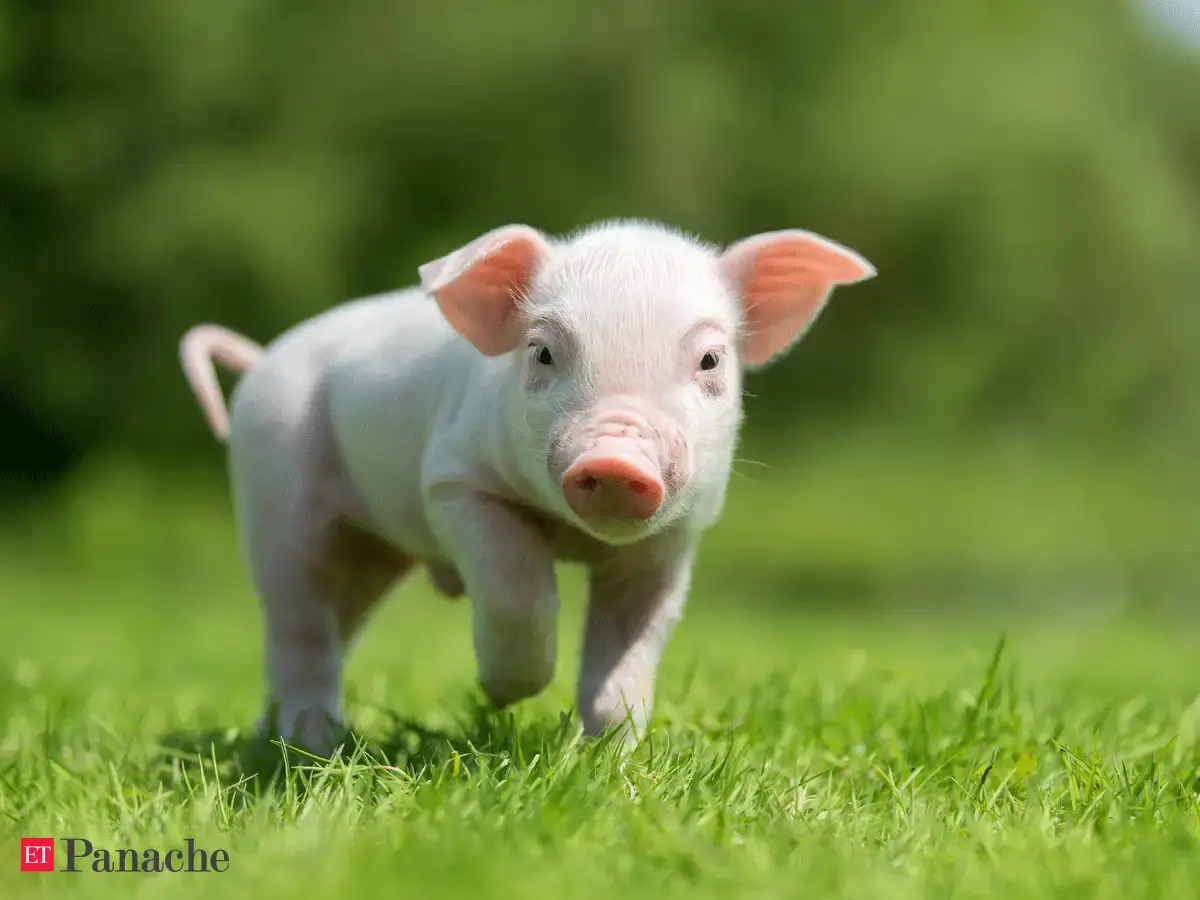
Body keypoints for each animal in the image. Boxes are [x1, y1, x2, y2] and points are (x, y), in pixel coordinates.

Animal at [178, 219, 875, 756]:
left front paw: (613, 758)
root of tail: (262, 358)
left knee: (332, 625)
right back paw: (309, 746)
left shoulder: (672, 540)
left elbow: (629, 651)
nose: (617, 458)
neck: (571, 536)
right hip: (275, 494)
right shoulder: (455, 483)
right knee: (295, 622)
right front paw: (503, 695)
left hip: (370, 555)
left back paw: (273, 737)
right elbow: (521, 590)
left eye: (710, 361)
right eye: (542, 353)